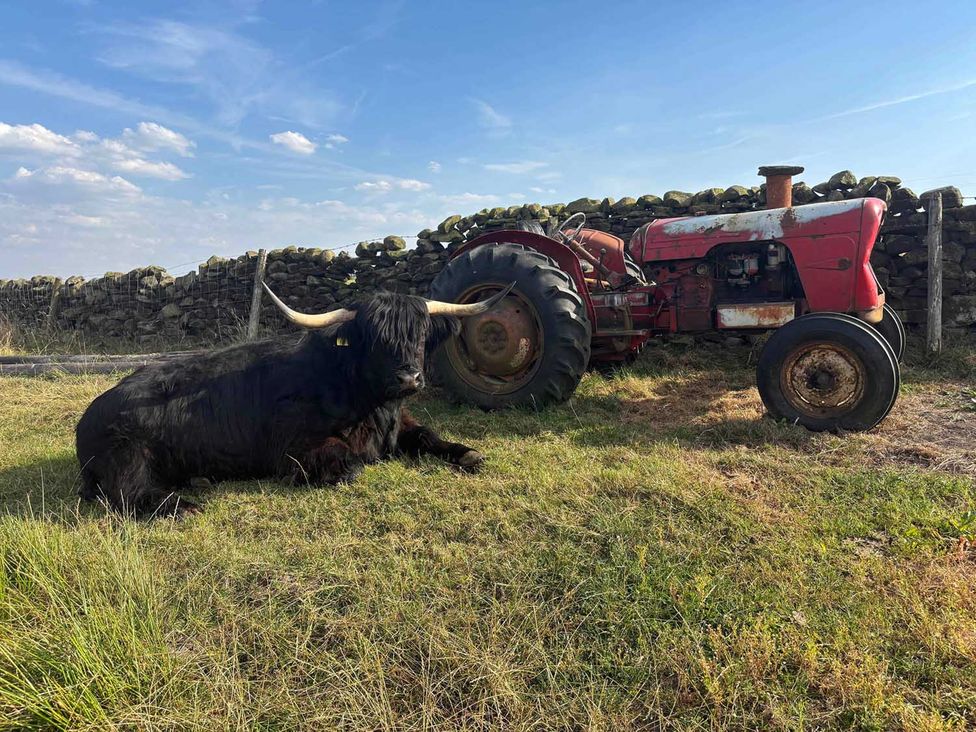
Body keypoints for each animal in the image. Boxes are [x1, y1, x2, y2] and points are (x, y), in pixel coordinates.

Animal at [75, 282, 514, 517]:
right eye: (374, 339)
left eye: (420, 335)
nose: (409, 377)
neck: (373, 407)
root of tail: (87, 416)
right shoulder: (293, 448)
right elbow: (352, 465)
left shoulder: (401, 425)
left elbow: (428, 436)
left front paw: (469, 454)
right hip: (128, 455)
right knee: (127, 494)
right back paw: (183, 505)